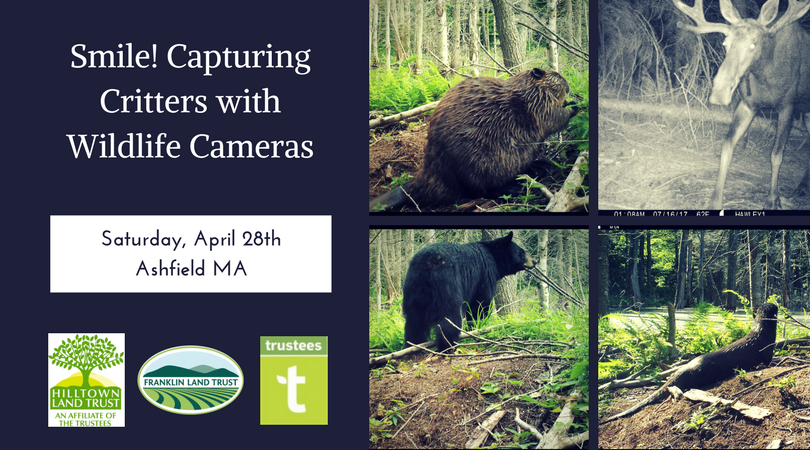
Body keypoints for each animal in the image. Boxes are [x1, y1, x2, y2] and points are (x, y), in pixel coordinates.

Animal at [370, 67, 576, 212]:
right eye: (558, 75)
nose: (569, 84)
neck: (527, 87)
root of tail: (411, 187)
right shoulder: (538, 103)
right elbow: (553, 118)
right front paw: (574, 106)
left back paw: (538, 166)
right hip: (474, 164)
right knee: (478, 191)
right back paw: (513, 188)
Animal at [400, 232, 532, 352]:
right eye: (522, 252)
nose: (534, 261)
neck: (493, 257)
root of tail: (425, 266)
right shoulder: (485, 274)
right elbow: (481, 304)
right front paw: (477, 327)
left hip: (413, 292)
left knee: (413, 322)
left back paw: (413, 345)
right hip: (447, 284)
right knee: (450, 317)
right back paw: (449, 345)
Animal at [668, 0, 808, 210]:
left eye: (753, 44)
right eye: (725, 43)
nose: (720, 92)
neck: (765, 75)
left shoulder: (788, 105)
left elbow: (776, 155)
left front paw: (773, 199)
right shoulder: (748, 104)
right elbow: (727, 145)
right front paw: (715, 201)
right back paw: (801, 187)